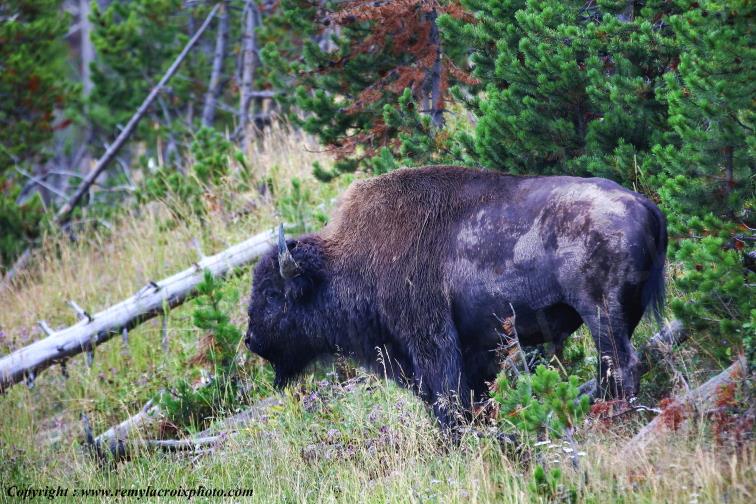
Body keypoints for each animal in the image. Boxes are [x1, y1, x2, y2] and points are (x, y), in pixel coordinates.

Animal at [245, 166, 667, 427]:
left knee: (620, 364)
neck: (350, 260)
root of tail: (644, 205)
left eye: (273, 293)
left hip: (601, 313)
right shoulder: (476, 353)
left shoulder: (432, 345)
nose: (250, 340)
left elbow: (449, 402)